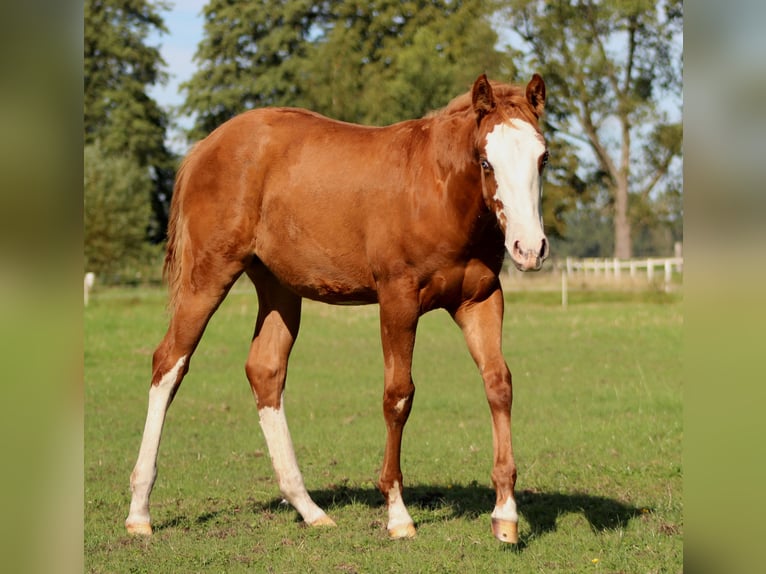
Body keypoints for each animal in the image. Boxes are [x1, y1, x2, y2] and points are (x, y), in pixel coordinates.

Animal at [125, 74, 549, 544]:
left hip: (278, 289)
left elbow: (498, 384)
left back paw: (309, 508)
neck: (439, 193)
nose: (529, 249)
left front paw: (506, 514)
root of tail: (204, 147)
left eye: (543, 157)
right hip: (208, 275)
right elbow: (398, 396)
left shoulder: (480, 300)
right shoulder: (398, 300)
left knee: (265, 370)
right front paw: (398, 515)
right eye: (486, 162)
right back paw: (140, 511)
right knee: (169, 363)